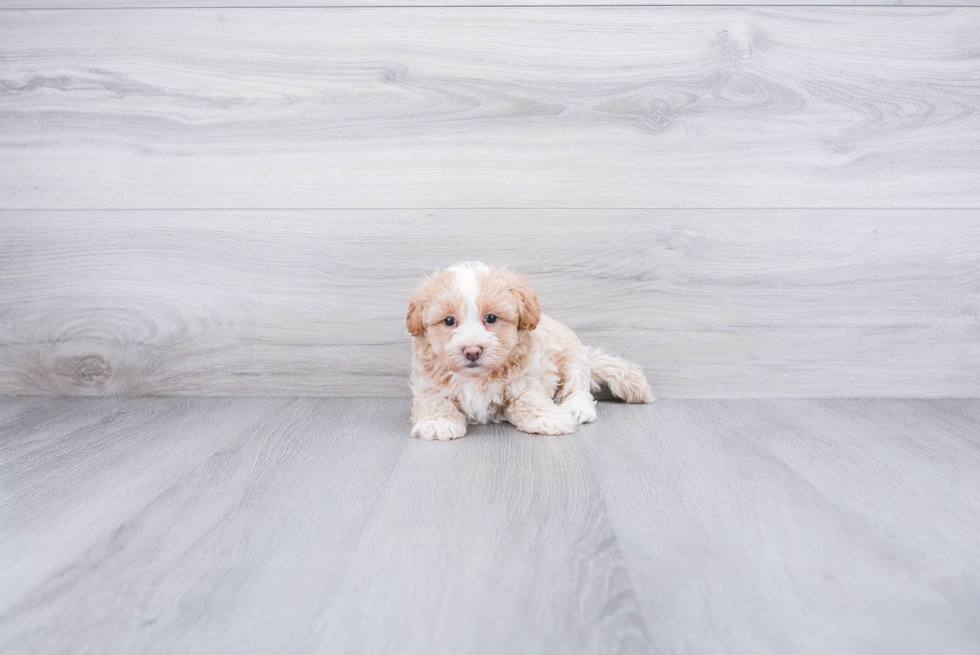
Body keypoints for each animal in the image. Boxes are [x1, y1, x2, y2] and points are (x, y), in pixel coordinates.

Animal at [406, 262, 652, 440]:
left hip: (570, 356)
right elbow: (435, 401)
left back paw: (576, 408)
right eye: (449, 321)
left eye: (491, 318)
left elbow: (529, 398)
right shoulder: (428, 384)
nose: (472, 351)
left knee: (577, 388)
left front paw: (547, 418)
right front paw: (437, 422)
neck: (476, 377)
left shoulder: (527, 377)